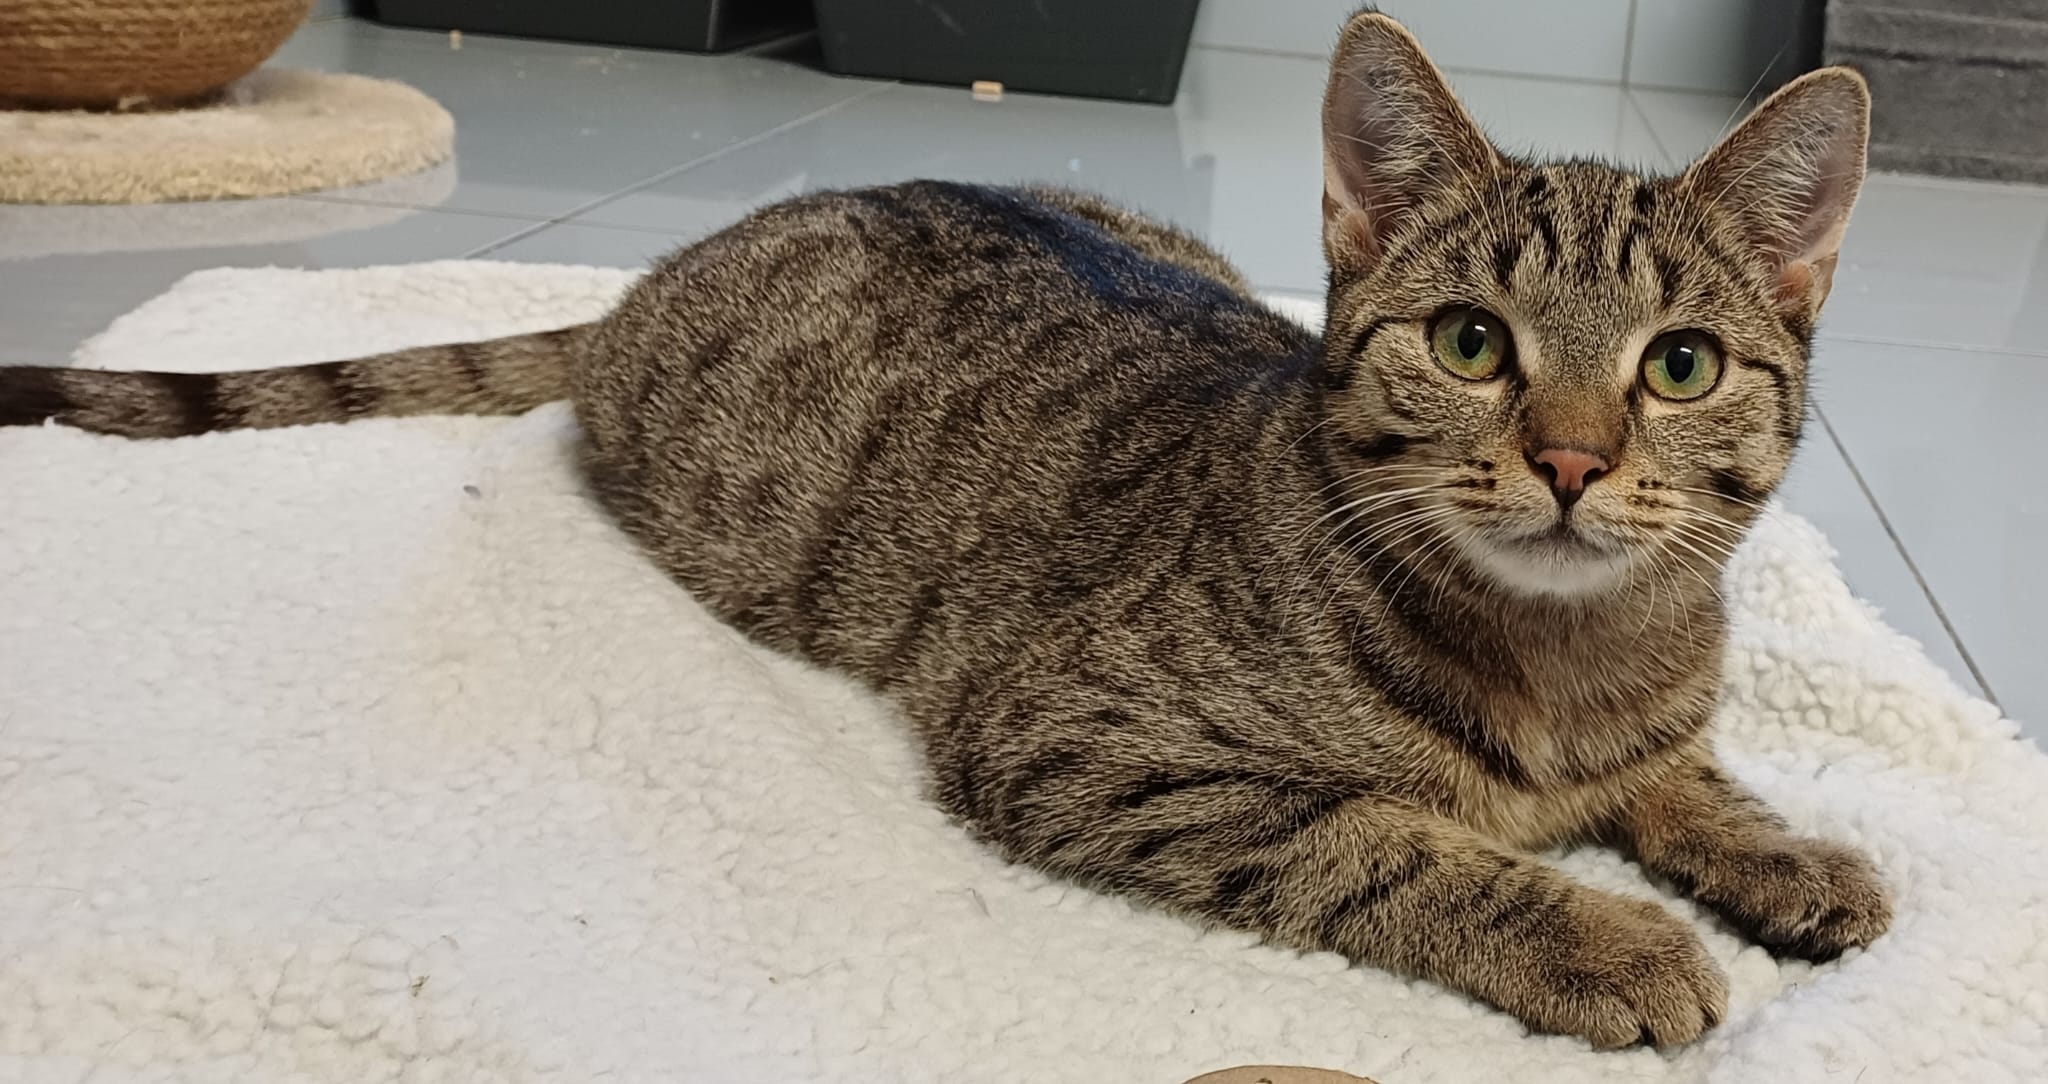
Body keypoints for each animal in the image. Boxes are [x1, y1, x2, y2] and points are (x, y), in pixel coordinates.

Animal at [0, 10, 1889, 1049]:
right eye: (1472, 342)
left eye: (1678, 363)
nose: (1570, 458)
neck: (1567, 649)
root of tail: (650, 277)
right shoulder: (1083, 740)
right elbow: (1388, 838)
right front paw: (1605, 933)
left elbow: (1684, 767)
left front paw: (1781, 848)